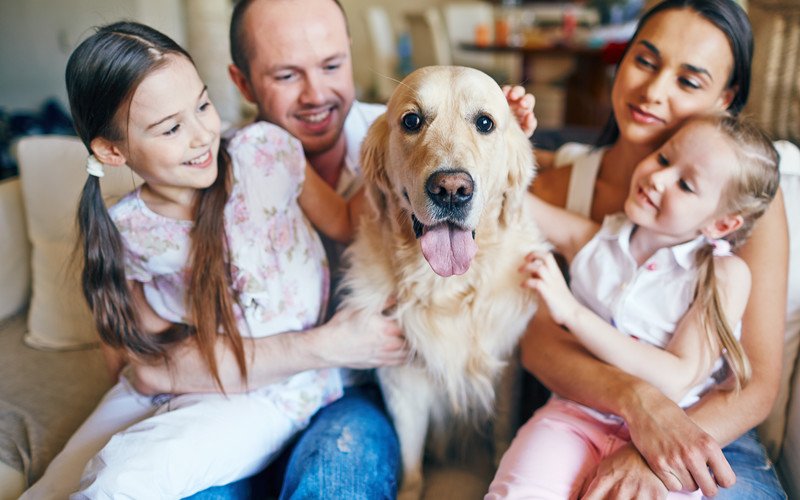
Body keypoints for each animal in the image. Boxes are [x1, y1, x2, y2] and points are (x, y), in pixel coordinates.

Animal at [338, 67, 552, 500]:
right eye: (411, 121)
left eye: (485, 123)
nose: (451, 189)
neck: (447, 290)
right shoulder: (401, 381)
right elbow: (410, 459)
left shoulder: (506, 368)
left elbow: (502, 435)